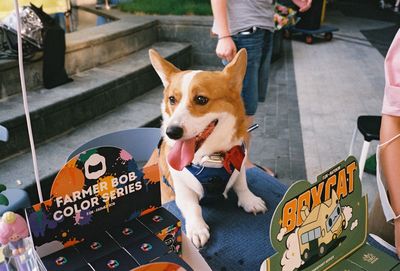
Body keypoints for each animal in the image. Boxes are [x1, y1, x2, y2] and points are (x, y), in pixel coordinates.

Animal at [148, 48, 268, 249]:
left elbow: (241, 183)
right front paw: (197, 229)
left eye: (201, 99)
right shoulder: (181, 188)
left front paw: (250, 200)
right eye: (172, 99)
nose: (171, 132)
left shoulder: (240, 161)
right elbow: (193, 206)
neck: (212, 158)